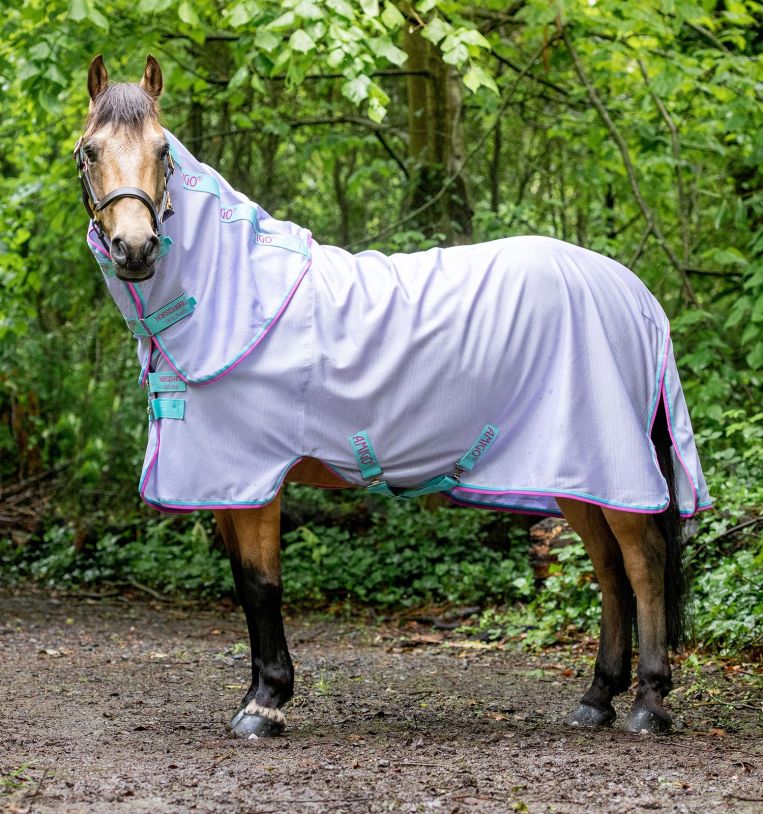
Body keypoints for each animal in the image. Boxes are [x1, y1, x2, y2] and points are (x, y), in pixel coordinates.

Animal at [74, 55, 711, 740]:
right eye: (90, 150)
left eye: (163, 151)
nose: (135, 248)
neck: (238, 293)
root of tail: (634, 293)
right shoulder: (223, 484)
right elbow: (245, 585)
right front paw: (260, 693)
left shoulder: (255, 478)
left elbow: (263, 585)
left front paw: (265, 703)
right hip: (576, 473)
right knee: (610, 572)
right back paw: (597, 698)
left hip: (613, 466)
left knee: (643, 563)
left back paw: (649, 703)